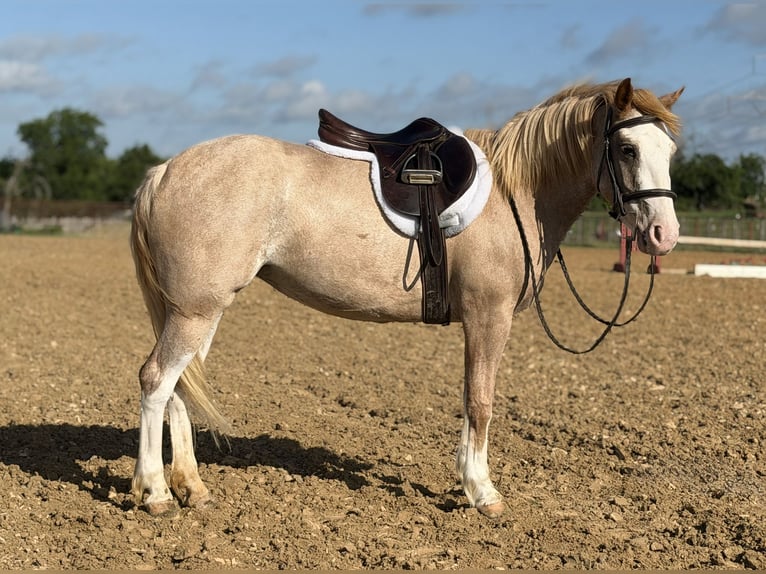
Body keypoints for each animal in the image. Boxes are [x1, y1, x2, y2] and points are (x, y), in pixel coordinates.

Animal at [129, 78, 683, 518]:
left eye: (670, 151)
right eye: (628, 149)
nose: (664, 235)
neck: (514, 191)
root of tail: (165, 170)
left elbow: (471, 399)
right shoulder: (488, 317)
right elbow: (480, 400)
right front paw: (482, 491)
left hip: (200, 310)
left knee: (182, 386)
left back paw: (192, 487)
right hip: (195, 311)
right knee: (157, 380)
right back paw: (156, 492)